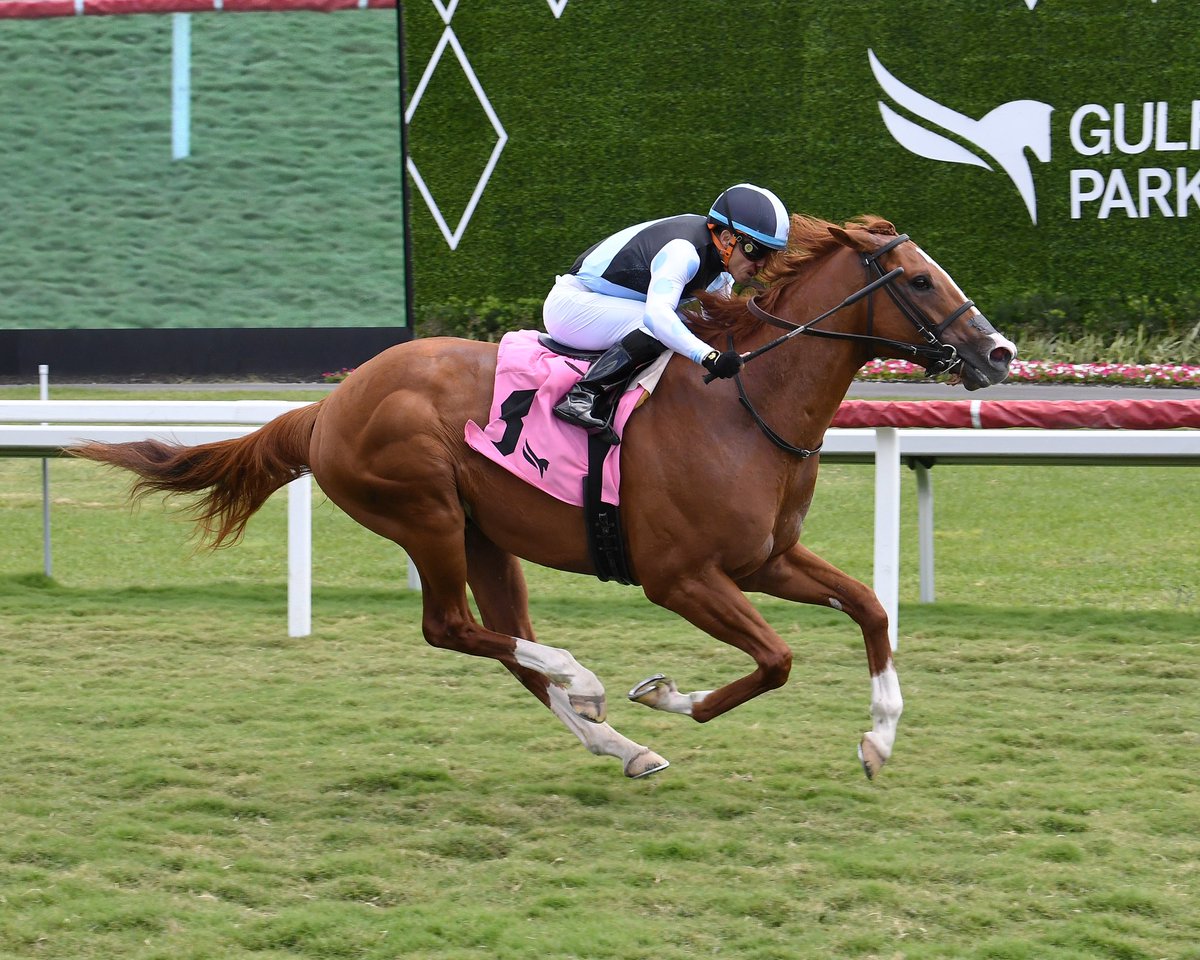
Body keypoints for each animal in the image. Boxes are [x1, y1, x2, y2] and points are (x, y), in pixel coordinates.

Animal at [72, 216, 1012, 777]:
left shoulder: (767, 559)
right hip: (425, 514)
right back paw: (588, 681)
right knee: (452, 628)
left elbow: (871, 610)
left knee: (503, 643)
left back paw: (616, 741)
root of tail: (328, 406)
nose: (998, 353)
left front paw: (879, 737)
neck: (747, 405)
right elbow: (776, 659)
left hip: (485, 534)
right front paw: (663, 694)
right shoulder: (680, 577)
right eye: (919, 282)